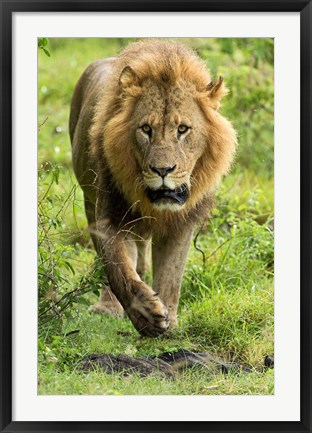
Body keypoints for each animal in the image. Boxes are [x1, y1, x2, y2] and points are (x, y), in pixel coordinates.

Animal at [69, 39, 236, 338]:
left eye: (183, 129)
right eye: (146, 129)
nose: (162, 170)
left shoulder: (181, 224)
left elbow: (171, 275)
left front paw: (169, 321)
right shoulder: (110, 216)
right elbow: (118, 269)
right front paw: (147, 316)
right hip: (89, 200)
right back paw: (108, 307)